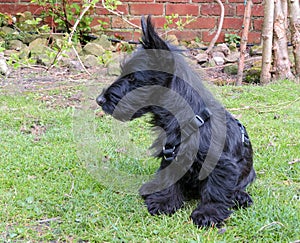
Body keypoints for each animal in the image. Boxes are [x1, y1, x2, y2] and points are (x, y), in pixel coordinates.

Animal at [96, 16, 255, 228]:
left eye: (132, 78)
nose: (99, 100)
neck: (191, 119)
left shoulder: (221, 164)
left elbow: (215, 191)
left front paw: (208, 213)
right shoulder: (171, 156)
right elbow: (169, 179)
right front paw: (164, 201)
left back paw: (240, 197)